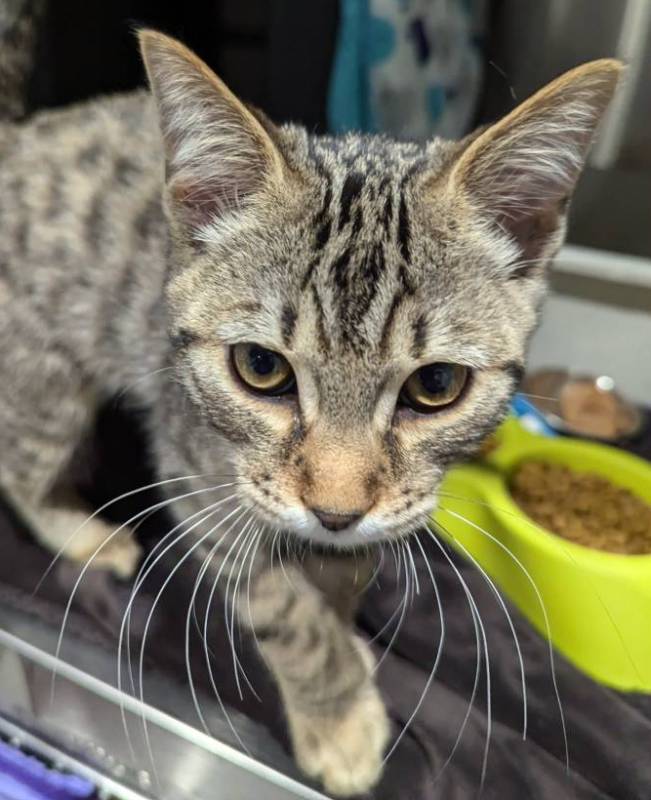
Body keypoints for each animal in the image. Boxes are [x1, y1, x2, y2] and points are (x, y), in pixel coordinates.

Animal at [0, 28, 621, 795]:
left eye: (436, 384)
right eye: (260, 367)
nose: (335, 509)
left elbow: (343, 571)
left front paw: (344, 624)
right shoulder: (199, 479)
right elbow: (283, 610)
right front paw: (338, 715)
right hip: (44, 382)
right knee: (19, 464)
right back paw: (79, 532)